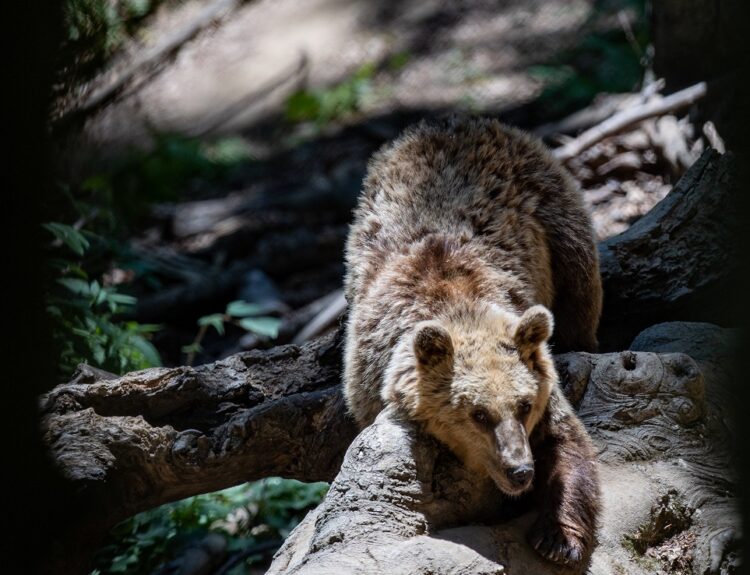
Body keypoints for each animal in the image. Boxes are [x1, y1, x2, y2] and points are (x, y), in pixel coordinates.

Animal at [344, 115, 604, 568]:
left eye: (523, 405)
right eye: (478, 414)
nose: (520, 471)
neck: (457, 307)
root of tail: (452, 121)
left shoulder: (538, 374)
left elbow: (569, 443)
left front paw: (557, 539)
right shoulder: (369, 376)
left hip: (550, 208)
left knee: (580, 282)